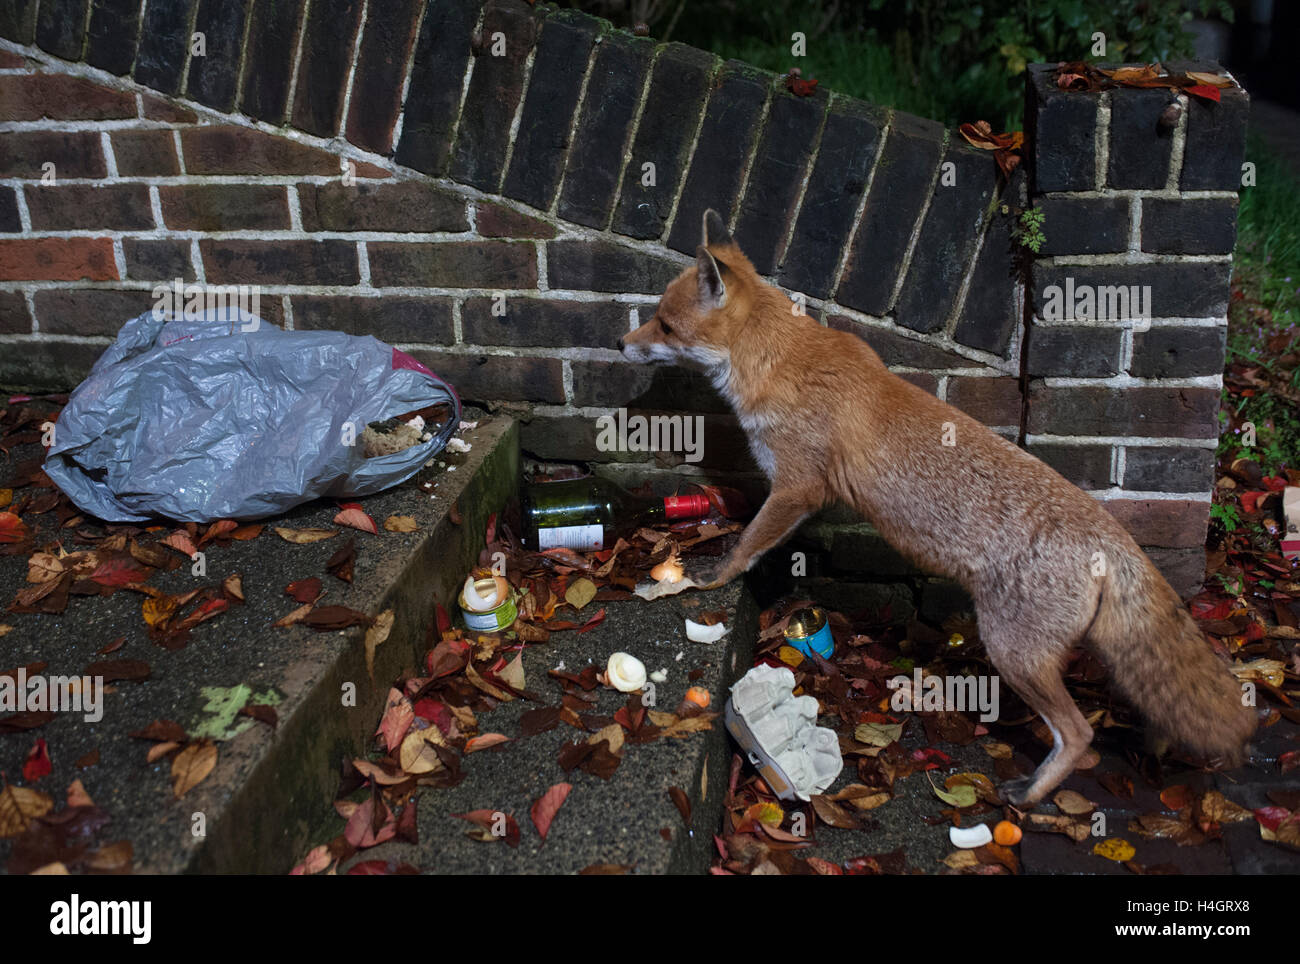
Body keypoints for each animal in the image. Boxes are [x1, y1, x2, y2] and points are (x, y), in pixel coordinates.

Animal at [621, 211, 1258, 805]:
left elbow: (746, 545)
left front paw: (706, 577)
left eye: (666, 324)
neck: (777, 362)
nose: (623, 345)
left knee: (1079, 735)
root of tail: (1113, 535)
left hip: (1013, 652)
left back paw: (1031, 794)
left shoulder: (798, 487)